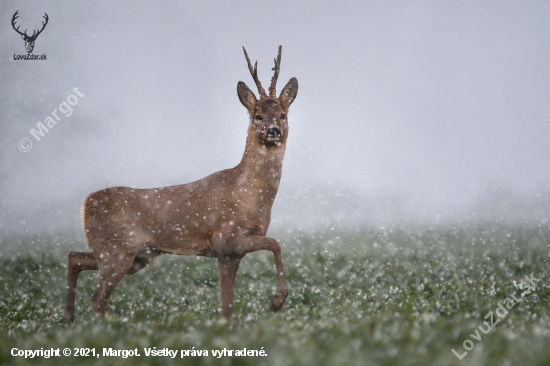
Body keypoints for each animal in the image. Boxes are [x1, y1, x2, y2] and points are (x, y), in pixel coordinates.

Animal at [62, 45, 300, 320]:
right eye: (258, 116)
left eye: (283, 114)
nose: (274, 130)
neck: (249, 194)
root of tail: (86, 202)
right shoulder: (225, 237)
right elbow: (275, 243)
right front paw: (277, 301)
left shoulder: (229, 254)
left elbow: (226, 304)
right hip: (117, 251)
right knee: (97, 298)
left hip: (130, 255)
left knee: (74, 257)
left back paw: (68, 319)